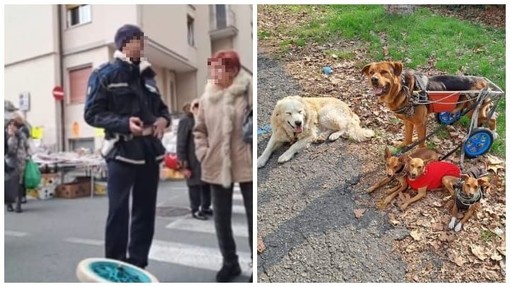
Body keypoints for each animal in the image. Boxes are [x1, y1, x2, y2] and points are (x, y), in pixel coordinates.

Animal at [360, 61, 492, 148]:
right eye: (371, 72)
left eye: (384, 72)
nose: (373, 79)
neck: (403, 89)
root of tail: (483, 82)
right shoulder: (408, 121)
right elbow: (408, 137)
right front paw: (403, 145)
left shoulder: (420, 123)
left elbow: (421, 143)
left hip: (474, 109)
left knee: (490, 119)